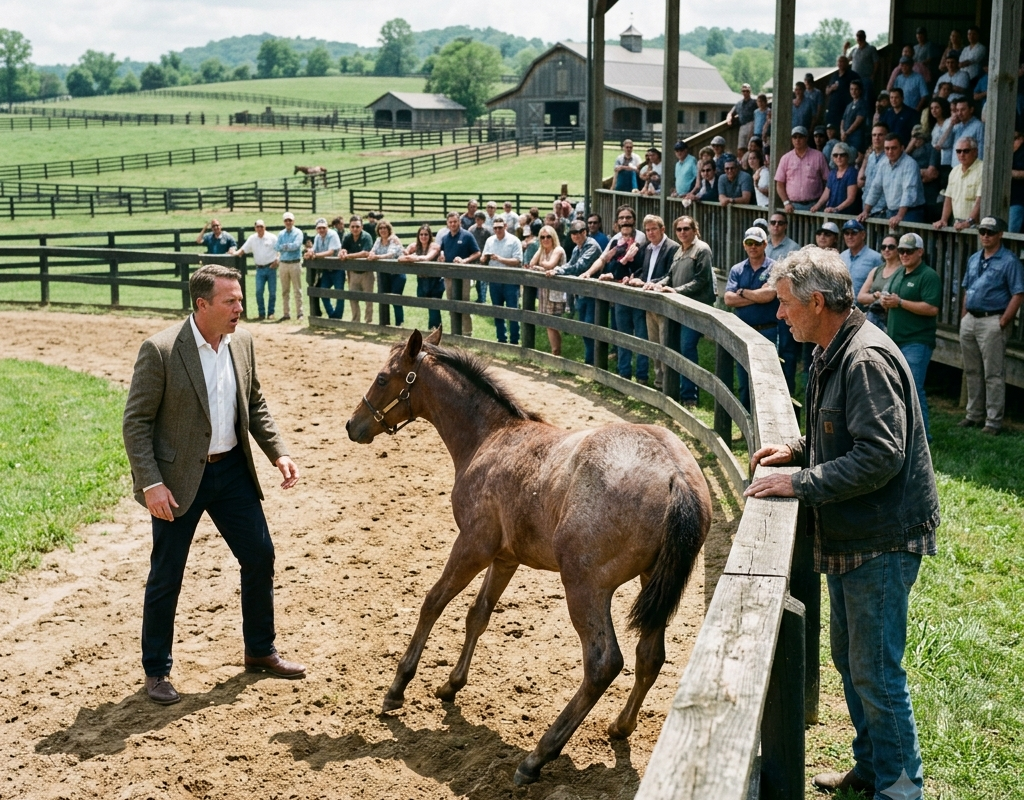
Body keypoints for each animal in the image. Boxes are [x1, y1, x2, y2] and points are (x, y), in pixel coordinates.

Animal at [345, 328, 712, 785]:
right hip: (652, 584)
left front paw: (397, 688)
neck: (491, 437)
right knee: (650, 656)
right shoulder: (505, 557)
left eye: (382, 378)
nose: (352, 425)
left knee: (603, 663)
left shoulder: (473, 544)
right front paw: (451, 685)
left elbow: (434, 602)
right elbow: (478, 614)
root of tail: (675, 474)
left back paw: (537, 757)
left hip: (585, 586)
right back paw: (620, 727)